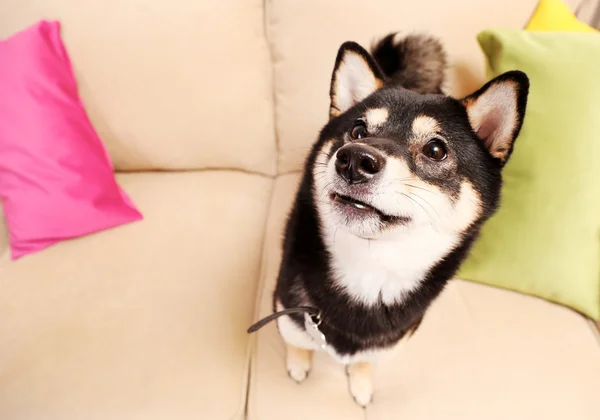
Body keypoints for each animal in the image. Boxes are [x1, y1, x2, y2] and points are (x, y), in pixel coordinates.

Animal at [248, 32, 528, 406]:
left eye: (436, 150)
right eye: (357, 131)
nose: (353, 160)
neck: (369, 266)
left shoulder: (396, 337)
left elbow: (366, 360)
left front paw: (361, 383)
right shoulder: (288, 304)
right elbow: (295, 338)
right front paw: (298, 363)